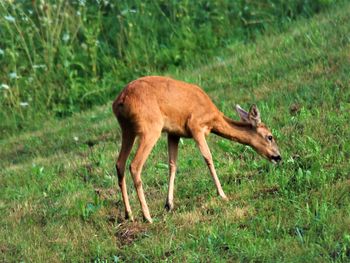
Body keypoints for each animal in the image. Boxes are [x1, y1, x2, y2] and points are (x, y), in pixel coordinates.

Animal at [113, 75, 282, 224]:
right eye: (270, 137)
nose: (278, 156)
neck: (214, 118)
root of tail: (120, 101)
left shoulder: (174, 133)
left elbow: (172, 164)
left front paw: (169, 204)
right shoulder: (195, 125)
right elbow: (208, 157)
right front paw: (222, 194)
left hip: (127, 130)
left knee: (120, 164)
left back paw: (129, 214)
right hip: (150, 128)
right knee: (134, 165)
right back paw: (147, 217)